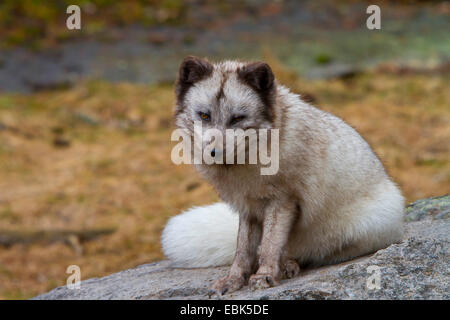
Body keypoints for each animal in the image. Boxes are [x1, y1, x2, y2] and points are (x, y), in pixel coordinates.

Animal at [162, 57, 404, 296]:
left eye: (237, 118)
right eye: (204, 115)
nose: (214, 153)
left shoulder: (283, 200)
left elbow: (270, 245)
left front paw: (264, 275)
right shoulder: (248, 208)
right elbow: (243, 250)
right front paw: (234, 279)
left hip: (361, 227)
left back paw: (290, 264)